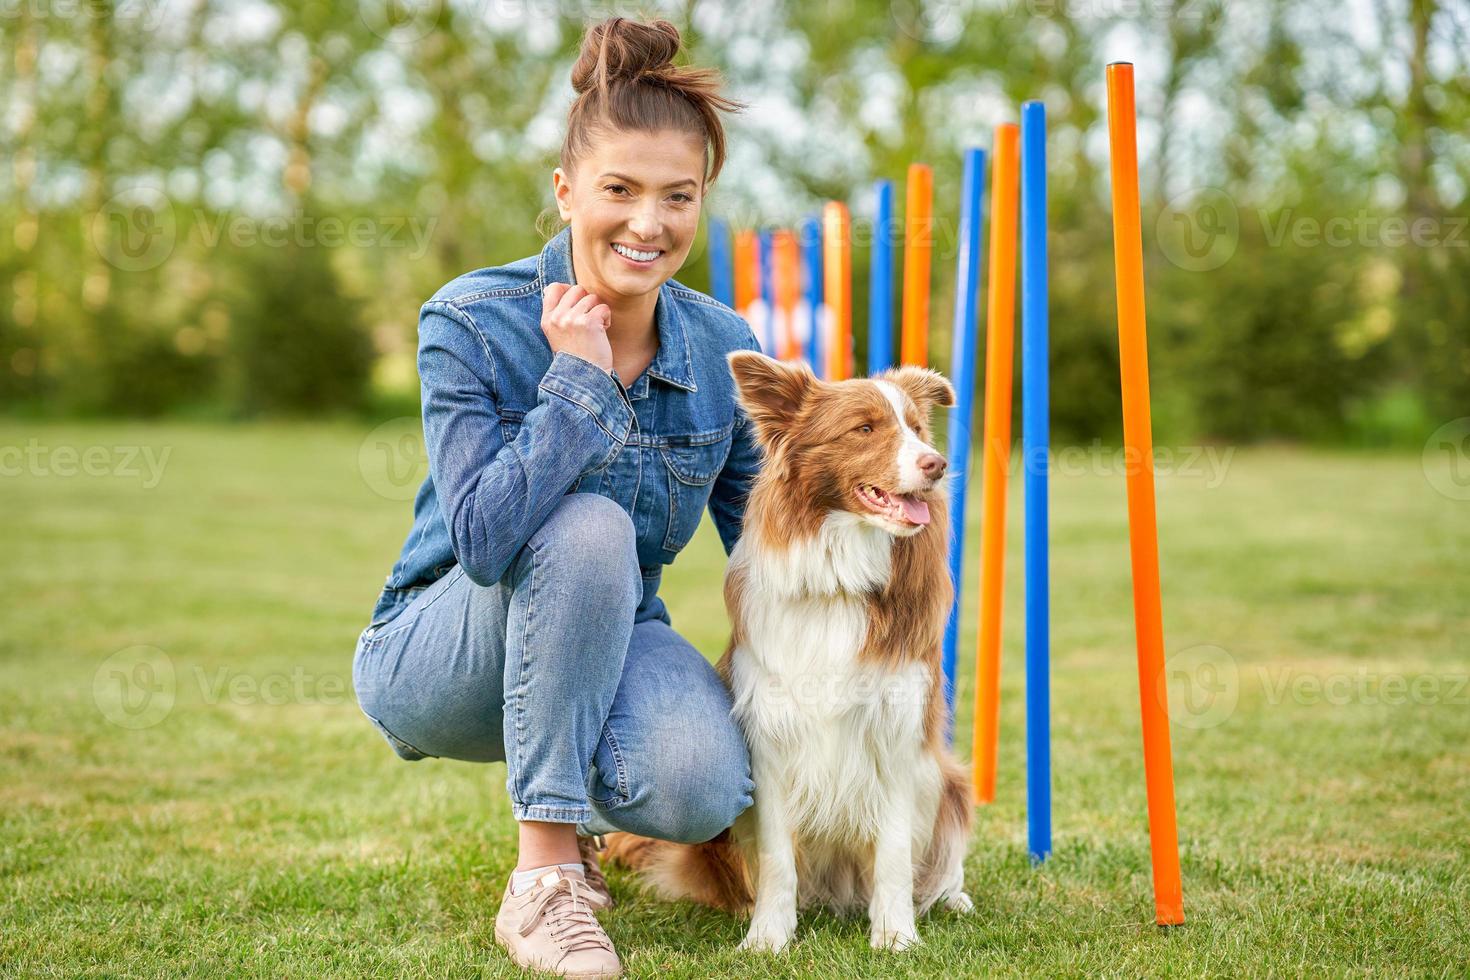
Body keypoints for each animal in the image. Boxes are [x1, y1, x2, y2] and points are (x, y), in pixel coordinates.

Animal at [602, 351, 970, 952]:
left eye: (917, 429)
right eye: (864, 429)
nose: (936, 465)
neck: (842, 576)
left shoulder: (897, 731)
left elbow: (894, 854)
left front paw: (895, 935)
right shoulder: (770, 738)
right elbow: (777, 857)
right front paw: (768, 937)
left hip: (948, 780)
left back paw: (950, 897)